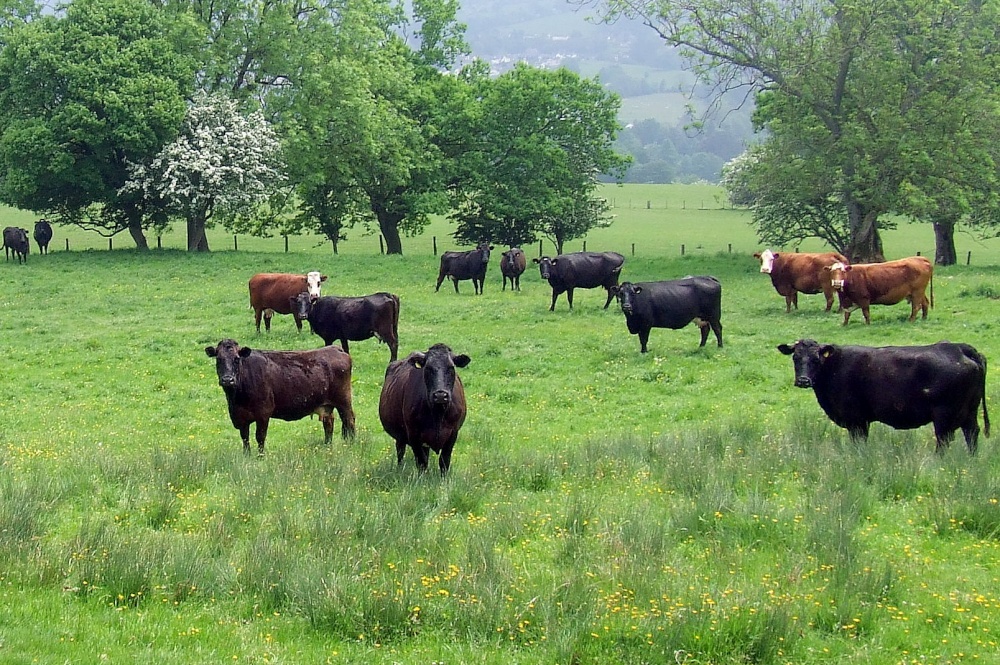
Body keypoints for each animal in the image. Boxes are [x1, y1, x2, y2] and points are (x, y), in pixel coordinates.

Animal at [205, 340, 358, 454]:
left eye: (237, 359)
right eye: (218, 359)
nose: (227, 379)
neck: (237, 398)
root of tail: (336, 348)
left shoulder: (263, 414)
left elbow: (260, 437)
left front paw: (260, 457)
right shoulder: (240, 417)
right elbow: (245, 438)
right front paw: (247, 456)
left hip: (343, 401)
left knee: (349, 420)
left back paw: (351, 445)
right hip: (326, 405)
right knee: (329, 423)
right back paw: (327, 446)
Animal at [376, 344, 470, 474]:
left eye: (451, 368)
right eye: (428, 368)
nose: (440, 395)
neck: (438, 413)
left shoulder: (453, 433)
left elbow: (444, 461)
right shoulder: (413, 434)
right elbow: (422, 462)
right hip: (401, 436)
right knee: (400, 451)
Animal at [776, 340, 988, 454]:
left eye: (816, 358)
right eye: (795, 357)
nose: (803, 380)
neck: (834, 367)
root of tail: (958, 348)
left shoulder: (857, 420)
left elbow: (859, 444)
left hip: (944, 415)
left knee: (944, 440)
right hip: (969, 412)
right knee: (972, 433)